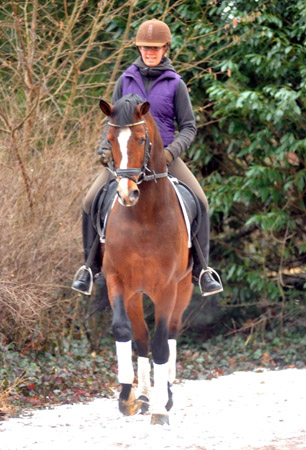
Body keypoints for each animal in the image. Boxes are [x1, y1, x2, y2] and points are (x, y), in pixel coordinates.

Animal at [99, 94, 192, 426]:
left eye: (141, 138)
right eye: (110, 139)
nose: (127, 194)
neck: (143, 217)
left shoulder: (167, 287)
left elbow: (162, 344)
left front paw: (160, 410)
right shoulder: (116, 280)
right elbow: (125, 332)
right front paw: (127, 397)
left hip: (184, 288)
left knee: (172, 333)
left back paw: (166, 396)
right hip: (135, 294)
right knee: (140, 338)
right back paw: (143, 396)